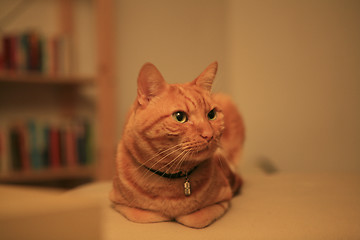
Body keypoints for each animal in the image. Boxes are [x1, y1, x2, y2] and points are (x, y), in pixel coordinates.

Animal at [109, 61, 245, 228]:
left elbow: (195, 219)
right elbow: (145, 215)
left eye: (211, 115)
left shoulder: (225, 197)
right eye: (180, 117)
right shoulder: (117, 202)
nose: (209, 135)